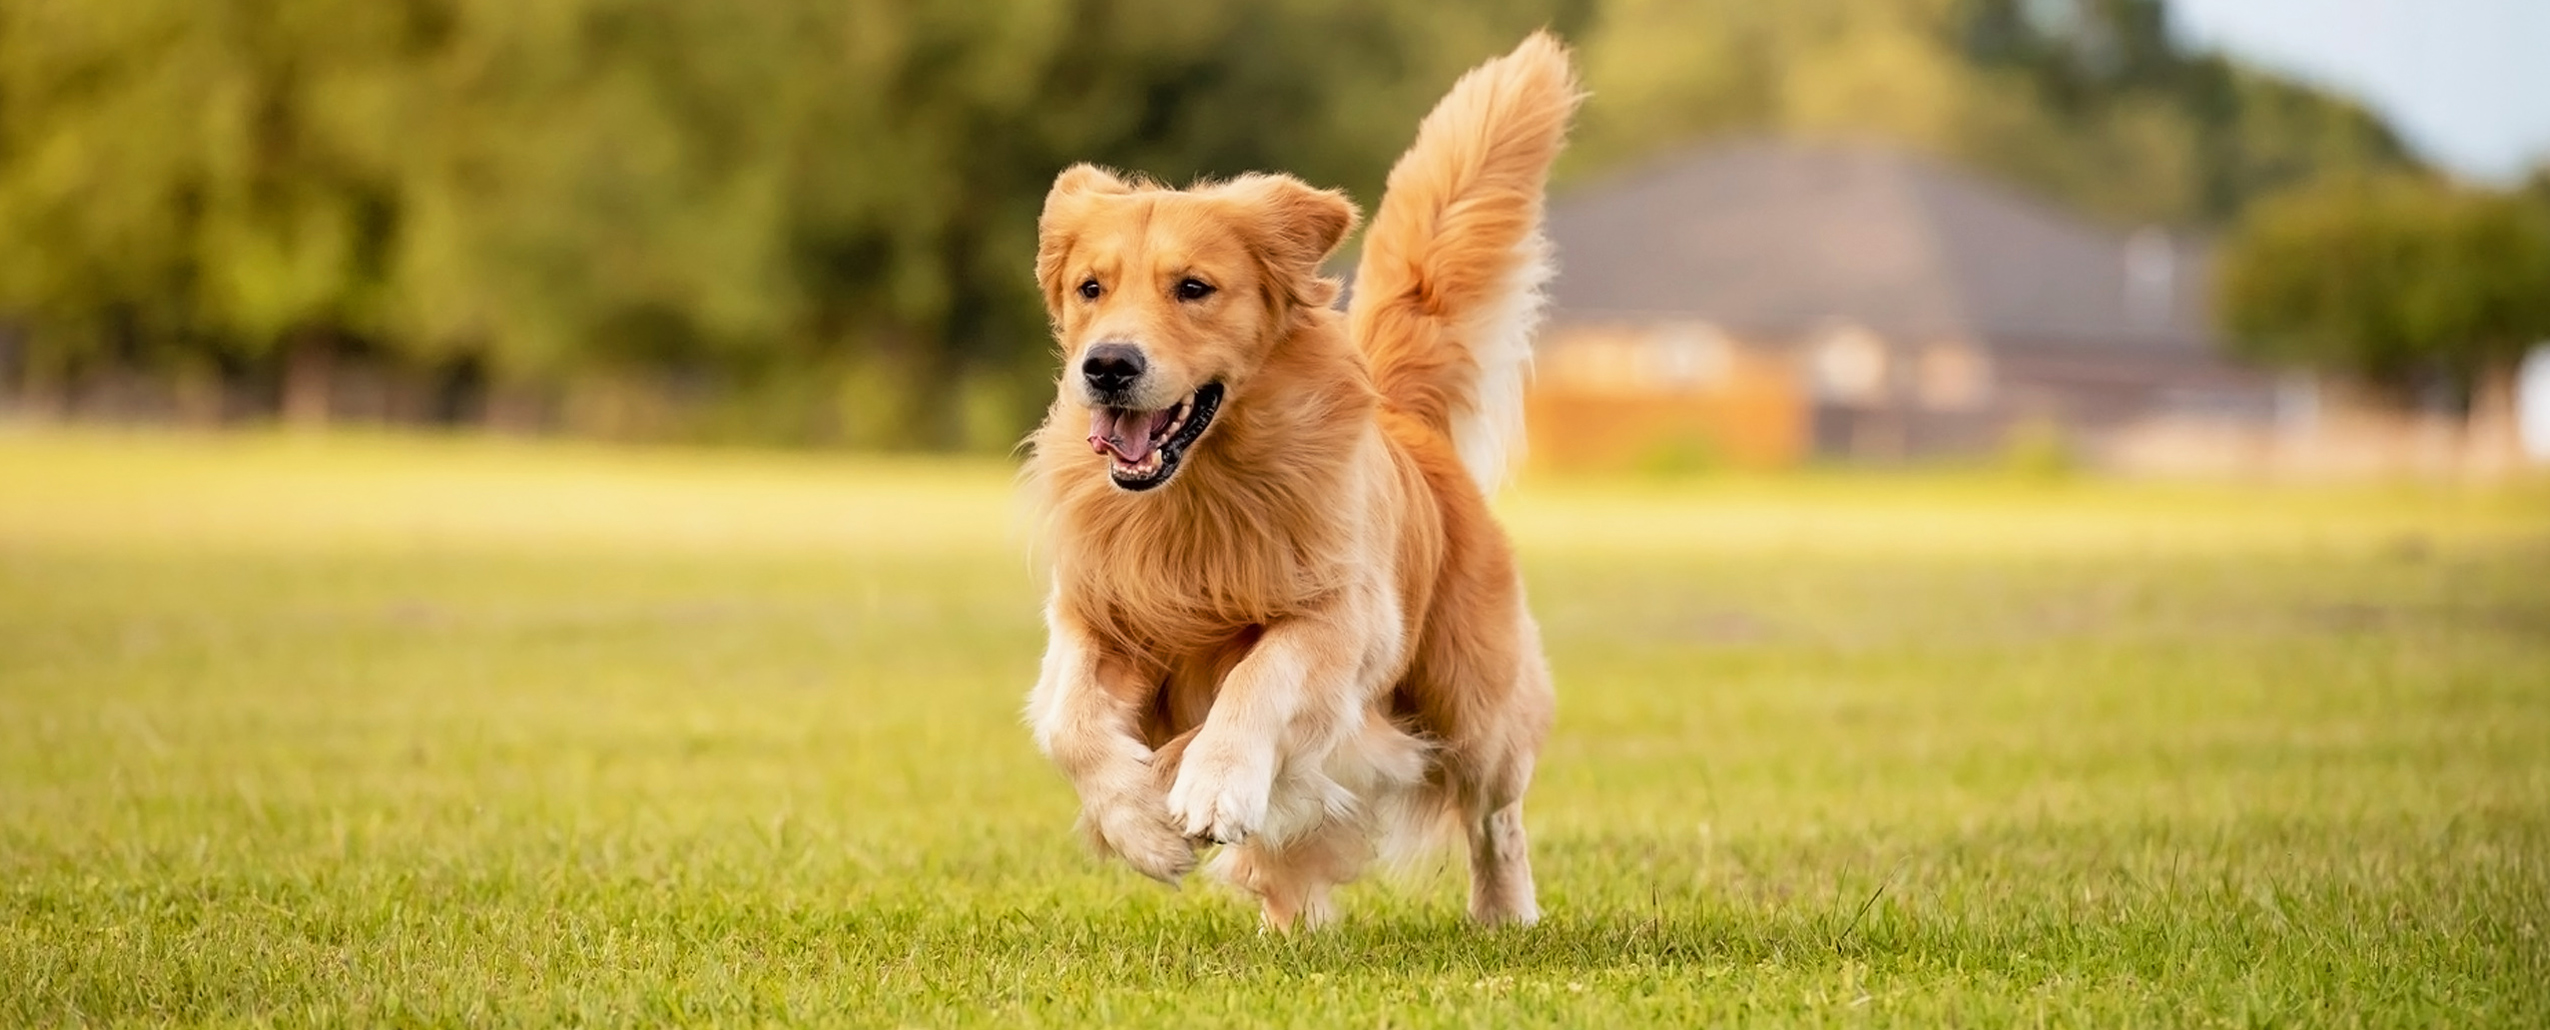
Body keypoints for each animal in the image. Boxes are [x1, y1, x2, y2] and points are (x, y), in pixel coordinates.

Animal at [1020, 34, 1570, 933]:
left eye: (1194, 288)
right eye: (1090, 288)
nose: (1106, 366)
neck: (1198, 494)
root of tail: (1409, 423)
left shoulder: (1342, 616)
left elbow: (1257, 676)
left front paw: (1210, 780)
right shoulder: (1094, 612)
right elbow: (1069, 721)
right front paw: (1140, 824)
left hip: (1471, 701)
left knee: (1496, 813)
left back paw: (1504, 913)